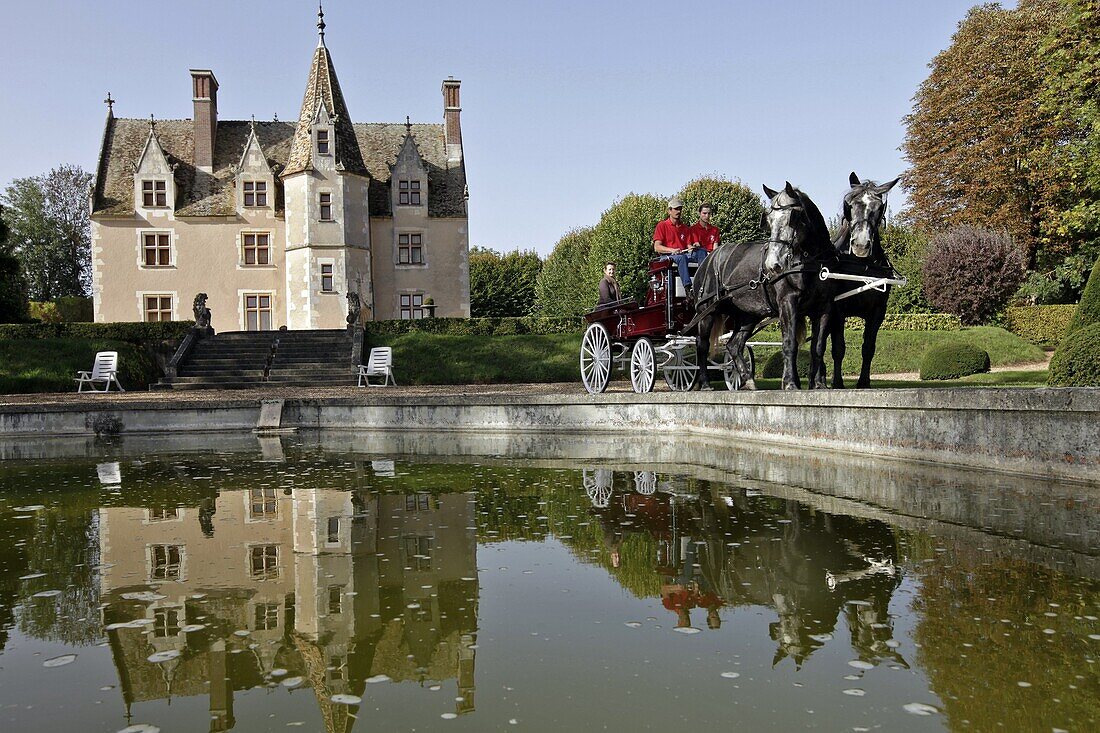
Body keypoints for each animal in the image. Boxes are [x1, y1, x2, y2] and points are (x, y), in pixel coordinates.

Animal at [690, 181, 836, 387]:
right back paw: (705, 383)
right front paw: (790, 382)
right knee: (702, 345)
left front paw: (819, 384)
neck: (811, 262)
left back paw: (748, 379)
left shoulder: (824, 308)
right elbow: (789, 343)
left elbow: (818, 346)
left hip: (748, 315)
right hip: (707, 311)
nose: (773, 264)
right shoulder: (788, 303)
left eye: (792, 218)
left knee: (734, 345)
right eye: (769, 220)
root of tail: (707, 260)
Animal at [827, 171, 897, 387]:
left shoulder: (877, 312)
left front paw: (864, 382)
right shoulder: (837, 310)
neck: (861, 266)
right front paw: (837, 383)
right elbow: (838, 347)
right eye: (849, 204)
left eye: (879, 207)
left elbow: (868, 347)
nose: (860, 245)